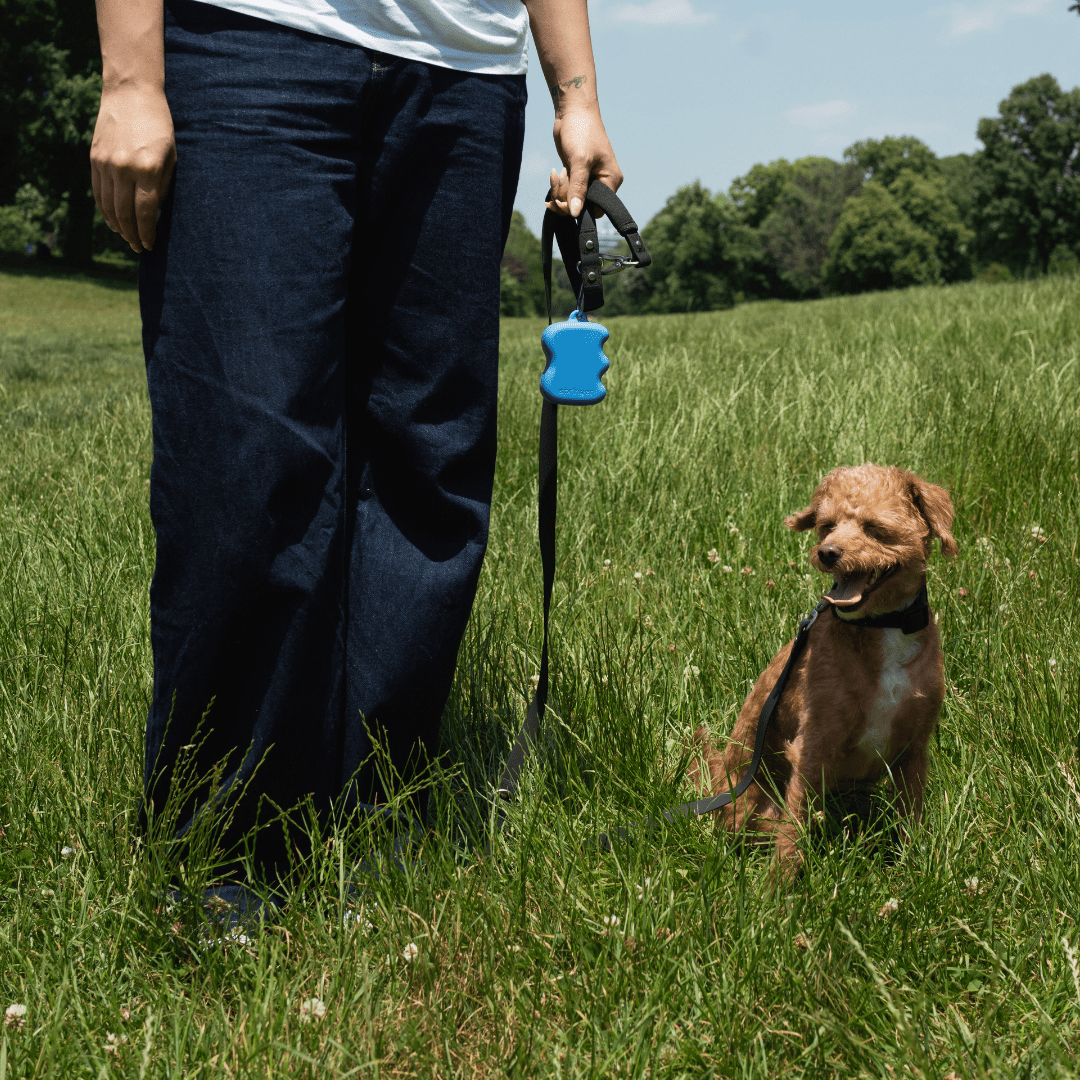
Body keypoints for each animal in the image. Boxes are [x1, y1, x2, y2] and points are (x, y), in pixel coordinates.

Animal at [691, 468, 954, 881]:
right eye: (826, 526)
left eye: (874, 528)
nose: (827, 553)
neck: (881, 627)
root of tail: (720, 781)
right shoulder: (813, 747)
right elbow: (792, 835)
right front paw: (777, 891)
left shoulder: (914, 748)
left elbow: (910, 817)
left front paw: (913, 866)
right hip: (751, 806)